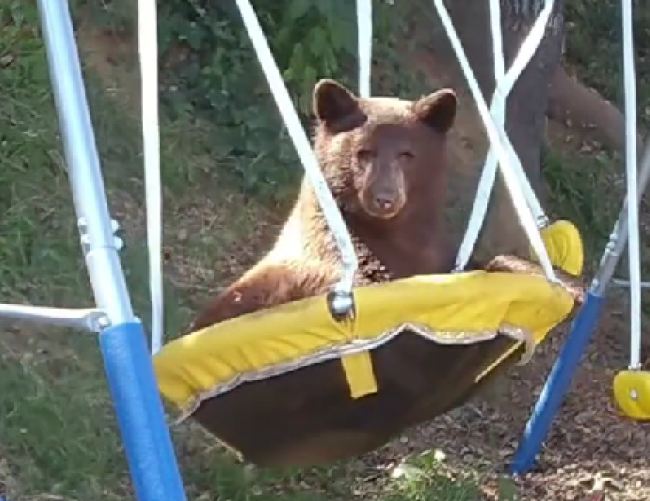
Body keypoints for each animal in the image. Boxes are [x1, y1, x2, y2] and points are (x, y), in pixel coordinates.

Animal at [181, 79, 584, 468]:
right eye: (364, 152)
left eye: (407, 154)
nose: (385, 198)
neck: (392, 235)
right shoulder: (348, 263)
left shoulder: (434, 253)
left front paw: (562, 279)